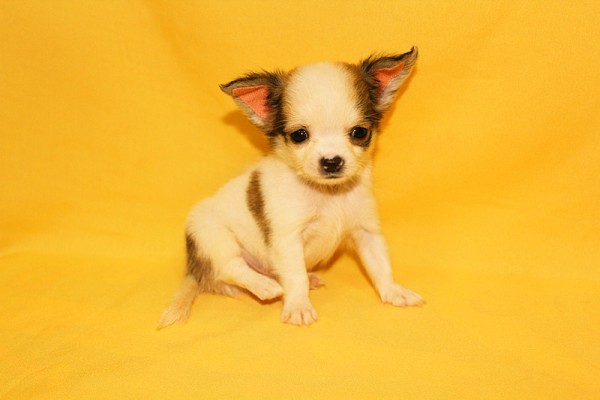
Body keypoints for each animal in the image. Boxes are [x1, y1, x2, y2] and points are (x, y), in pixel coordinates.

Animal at [158, 47, 424, 328]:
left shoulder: (366, 231)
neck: (328, 194)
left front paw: (394, 291)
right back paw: (265, 286)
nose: (332, 161)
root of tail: (193, 269)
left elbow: (380, 265)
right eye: (299, 135)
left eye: (359, 132)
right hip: (211, 236)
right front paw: (298, 305)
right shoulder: (288, 239)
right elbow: (296, 276)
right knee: (231, 267)